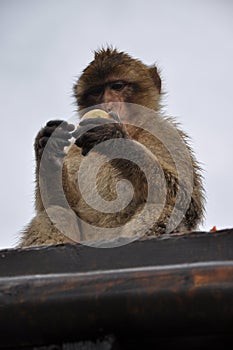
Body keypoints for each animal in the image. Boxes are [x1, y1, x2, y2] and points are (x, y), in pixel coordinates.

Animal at [19, 47, 205, 249]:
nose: (107, 104)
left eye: (117, 86)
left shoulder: (166, 131)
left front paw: (113, 139)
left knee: (160, 208)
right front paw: (49, 149)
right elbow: (58, 204)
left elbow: (186, 199)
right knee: (54, 213)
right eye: (96, 91)